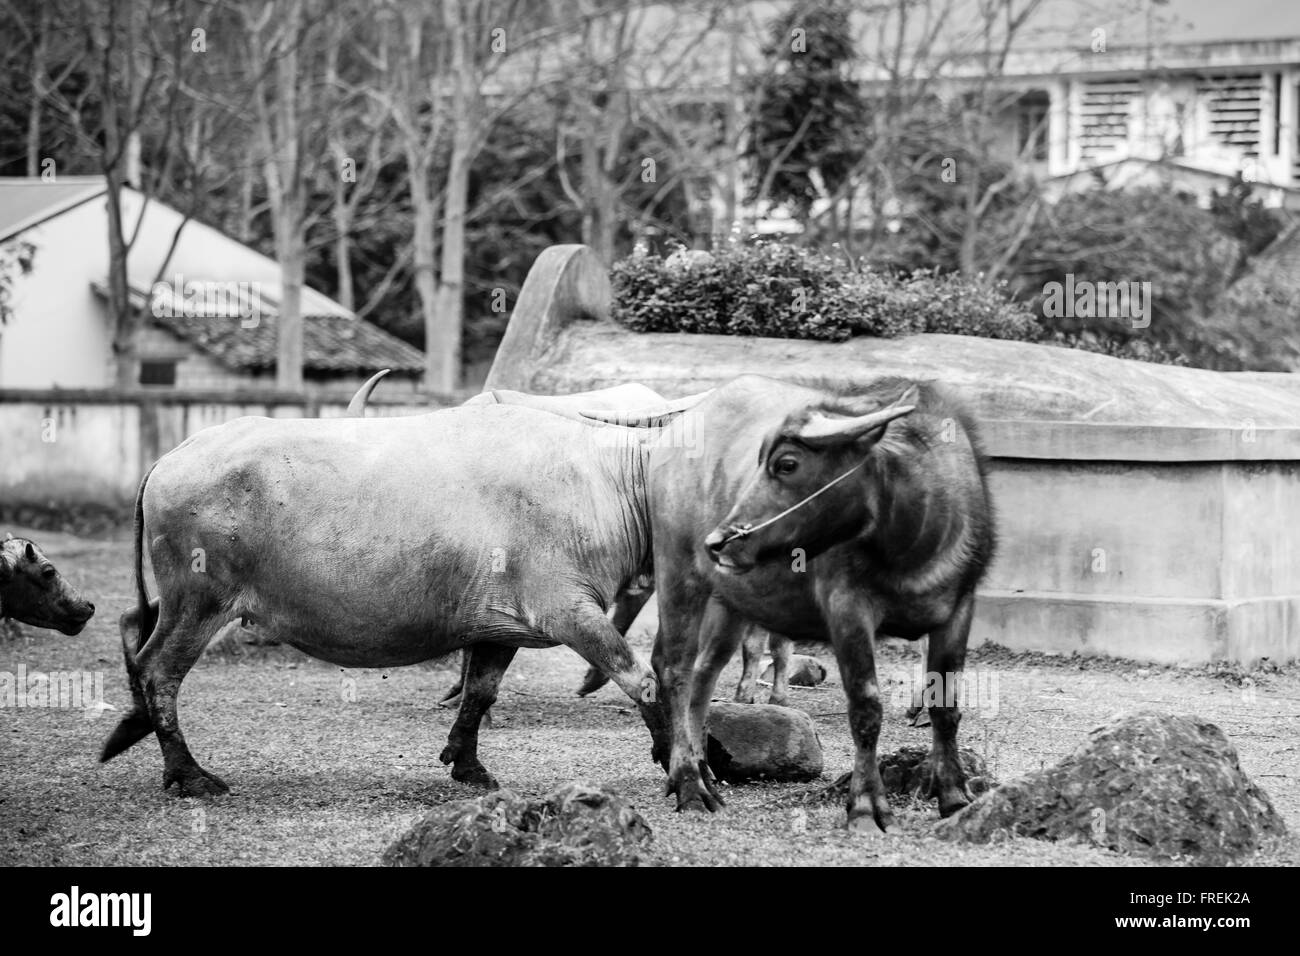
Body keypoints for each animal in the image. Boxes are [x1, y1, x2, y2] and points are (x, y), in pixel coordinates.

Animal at [590, 377, 993, 832]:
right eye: (762, 460)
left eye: (786, 463)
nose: (719, 541)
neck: (911, 540)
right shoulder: (847, 610)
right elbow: (866, 707)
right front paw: (867, 807)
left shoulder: (959, 610)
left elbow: (947, 705)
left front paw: (955, 797)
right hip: (678, 570)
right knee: (674, 668)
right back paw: (690, 786)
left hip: (730, 601)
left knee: (704, 673)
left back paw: (703, 772)